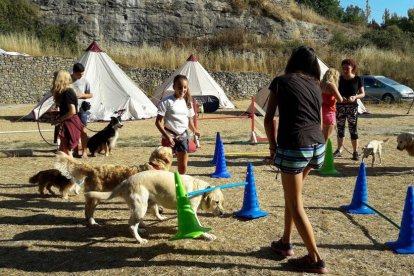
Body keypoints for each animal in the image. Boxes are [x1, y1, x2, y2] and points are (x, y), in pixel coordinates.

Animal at [84, 170, 225, 244]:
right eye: (216, 202)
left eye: (222, 203)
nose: (223, 213)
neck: (202, 190)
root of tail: (126, 181)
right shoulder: (191, 212)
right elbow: (199, 227)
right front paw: (207, 236)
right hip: (141, 207)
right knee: (131, 225)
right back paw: (140, 239)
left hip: (143, 205)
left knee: (134, 221)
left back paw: (143, 228)